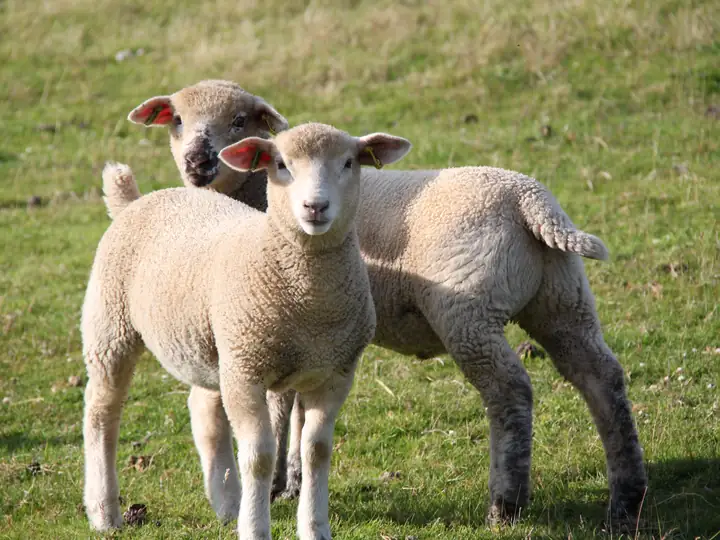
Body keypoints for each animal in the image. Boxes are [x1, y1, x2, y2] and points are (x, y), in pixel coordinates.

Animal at [81, 122, 412, 539]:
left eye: (349, 163)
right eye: (281, 165)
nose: (315, 207)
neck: (309, 304)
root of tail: (134, 201)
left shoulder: (336, 373)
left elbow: (316, 451)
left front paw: (314, 527)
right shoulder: (247, 371)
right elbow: (259, 457)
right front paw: (255, 528)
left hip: (213, 345)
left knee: (203, 409)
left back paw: (227, 503)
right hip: (111, 326)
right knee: (102, 412)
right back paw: (104, 512)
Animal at [118, 83, 647, 525]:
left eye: (240, 119)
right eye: (177, 119)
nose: (198, 161)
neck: (253, 199)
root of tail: (529, 202)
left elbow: (278, 407)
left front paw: (273, 487)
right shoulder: (302, 333)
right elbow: (297, 408)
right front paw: (293, 482)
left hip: (468, 313)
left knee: (510, 391)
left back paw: (505, 503)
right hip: (562, 299)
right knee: (601, 378)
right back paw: (626, 498)